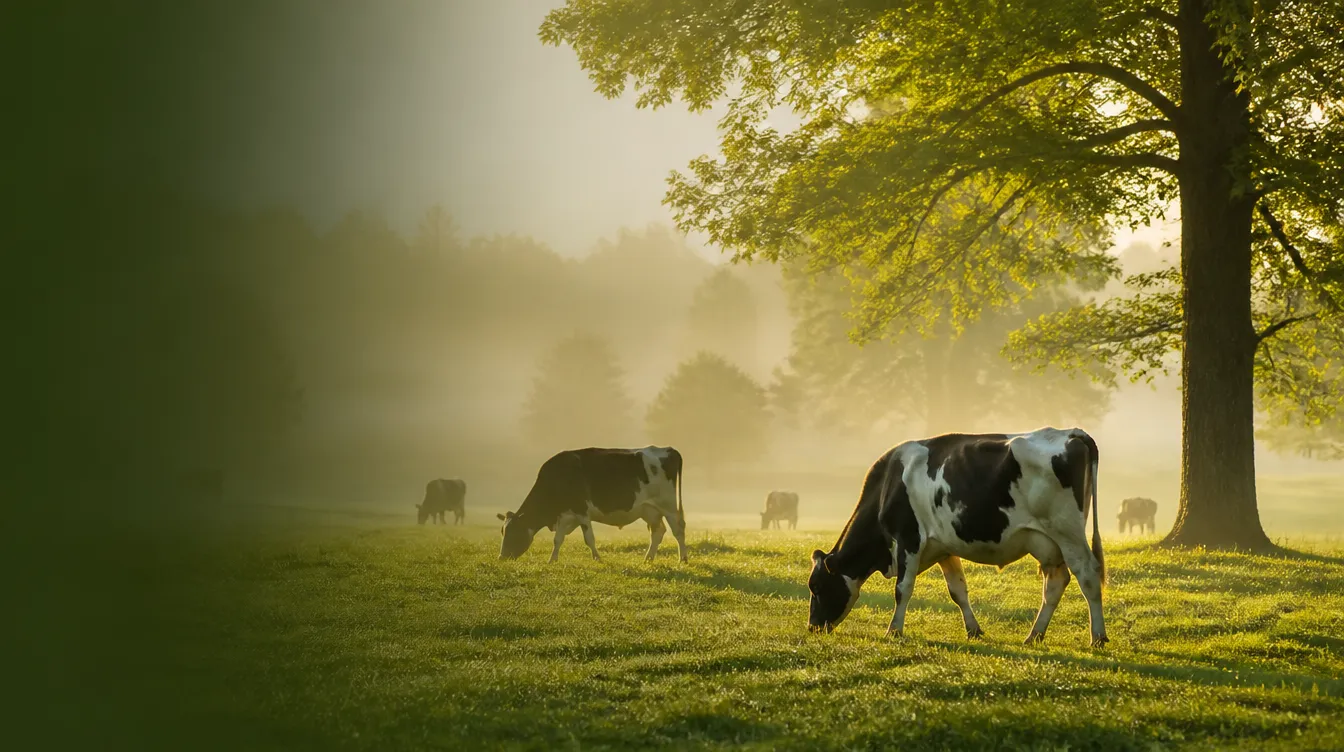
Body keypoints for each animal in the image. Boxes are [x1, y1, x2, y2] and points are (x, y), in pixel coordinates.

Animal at [497, 446, 687, 563]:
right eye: (503, 531)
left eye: (513, 532)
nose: (501, 557)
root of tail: (667, 449)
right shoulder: (564, 514)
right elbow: (557, 539)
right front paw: (552, 560)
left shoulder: (581, 510)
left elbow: (589, 538)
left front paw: (597, 558)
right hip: (649, 510)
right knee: (658, 531)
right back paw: (648, 558)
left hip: (669, 506)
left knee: (678, 529)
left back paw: (682, 559)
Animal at [807, 427, 1108, 648]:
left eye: (816, 587)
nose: (812, 627)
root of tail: (1071, 433)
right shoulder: (944, 548)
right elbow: (958, 590)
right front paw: (973, 630)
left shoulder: (909, 539)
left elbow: (903, 589)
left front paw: (894, 631)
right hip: (1048, 543)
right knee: (1056, 583)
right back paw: (1034, 635)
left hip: (1067, 533)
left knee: (1087, 577)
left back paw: (1098, 637)